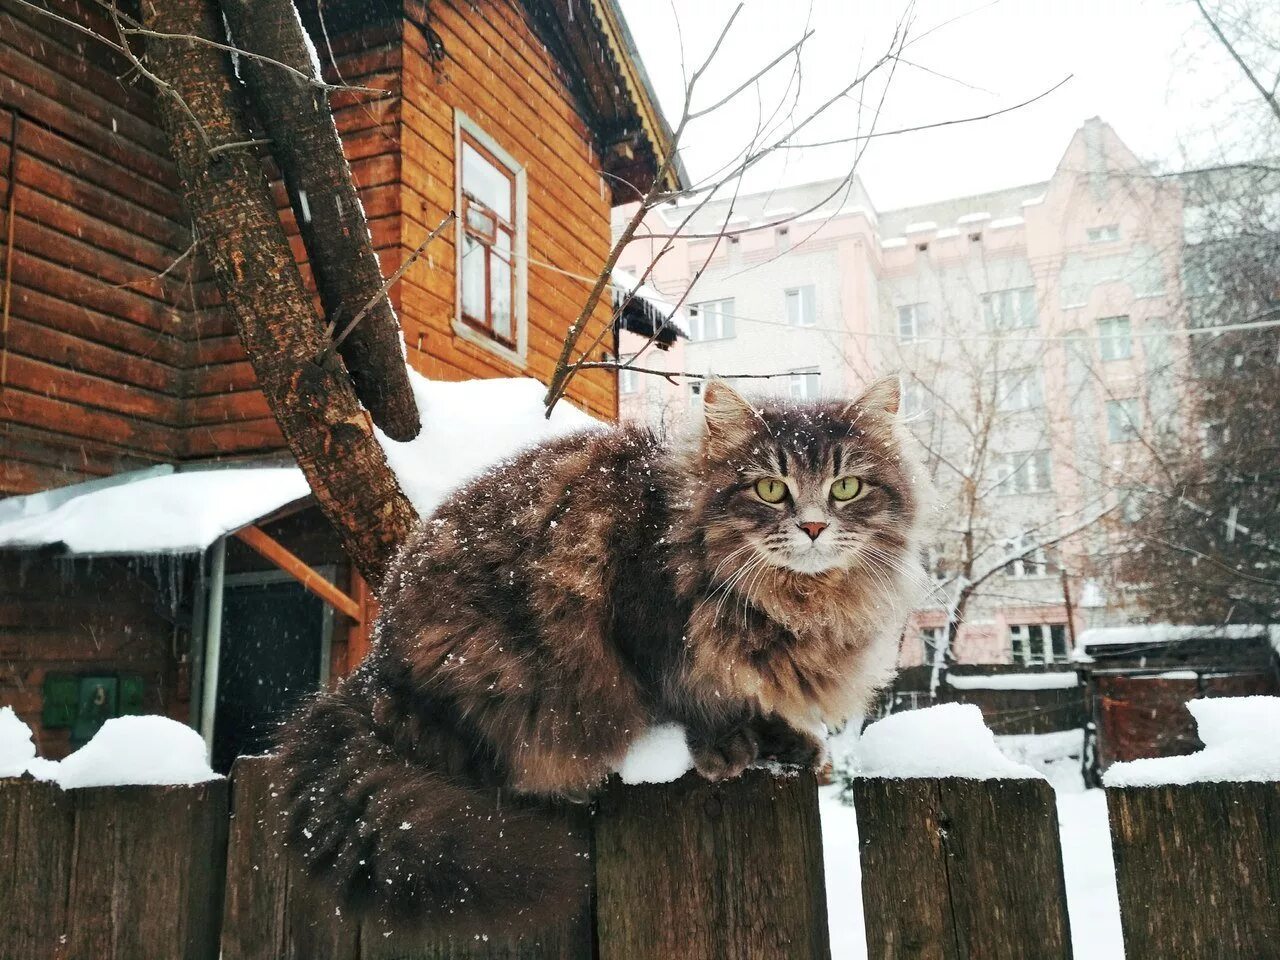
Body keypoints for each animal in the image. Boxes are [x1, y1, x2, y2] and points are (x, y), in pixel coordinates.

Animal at [275, 378, 926, 942]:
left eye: (846, 488)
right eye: (770, 488)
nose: (813, 527)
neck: (792, 602)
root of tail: (373, 663)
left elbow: (751, 696)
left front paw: (786, 741)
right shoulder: (648, 625)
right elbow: (692, 695)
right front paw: (726, 745)